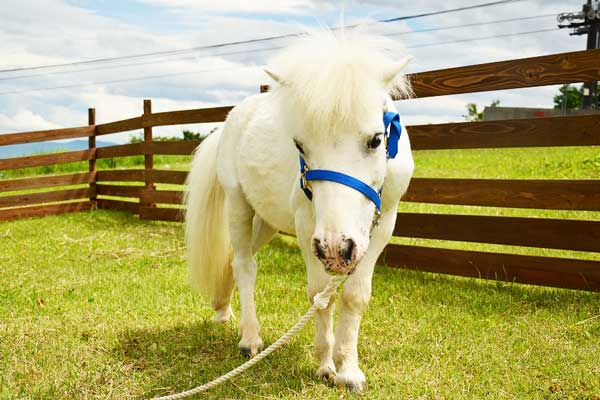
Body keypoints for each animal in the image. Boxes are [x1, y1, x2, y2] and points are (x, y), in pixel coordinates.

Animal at [185, 30, 414, 390]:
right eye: (300, 146)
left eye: (376, 140)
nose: (336, 249)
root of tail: (229, 121)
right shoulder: (308, 228)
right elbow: (321, 294)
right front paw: (325, 364)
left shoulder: (383, 224)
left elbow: (355, 296)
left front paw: (349, 371)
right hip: (239, 204)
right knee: (244, 264)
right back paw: (250, 338)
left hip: (267, 221)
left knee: (234, 261)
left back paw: (222, 308)